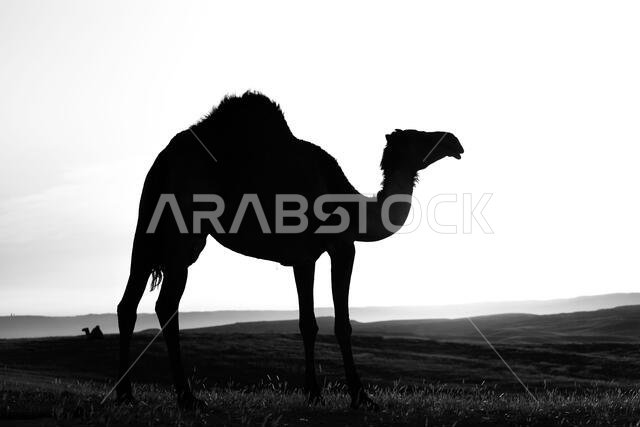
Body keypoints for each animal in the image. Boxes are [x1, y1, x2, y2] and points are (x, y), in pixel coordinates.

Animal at [116, 92, 463, 409]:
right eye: (419, 137)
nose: (454, 142)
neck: (353, 208)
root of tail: (164, 160)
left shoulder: (303, 257)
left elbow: (307, 323)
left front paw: (314, 393)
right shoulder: (341, 247)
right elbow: (342, 324)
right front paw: (360, 397)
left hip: (148, 228)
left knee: (129, 303)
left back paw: (127, 394)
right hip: (184, 230)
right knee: (166, 304)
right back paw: (187, 397)